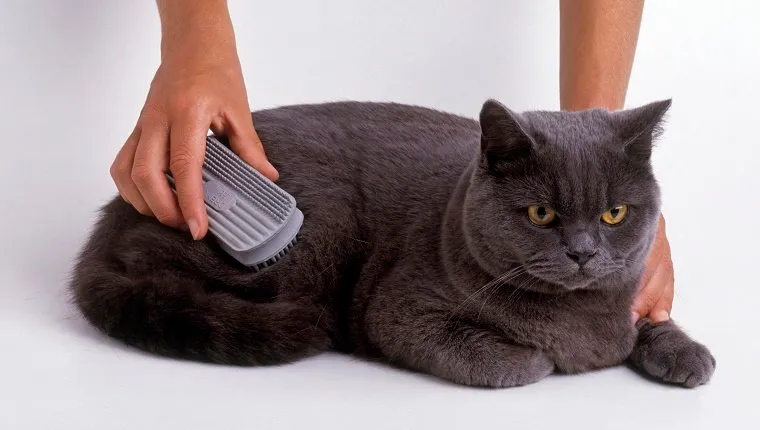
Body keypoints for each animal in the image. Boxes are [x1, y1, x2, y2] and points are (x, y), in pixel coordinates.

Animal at [70, 99, 712, 388]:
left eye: (613, 213)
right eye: (541, 212)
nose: (582, 251)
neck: (576, 317)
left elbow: (649, 320)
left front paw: (685, 352)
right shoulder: (402, 310)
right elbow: (504, 358)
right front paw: (534, 359)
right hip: (301, 232)